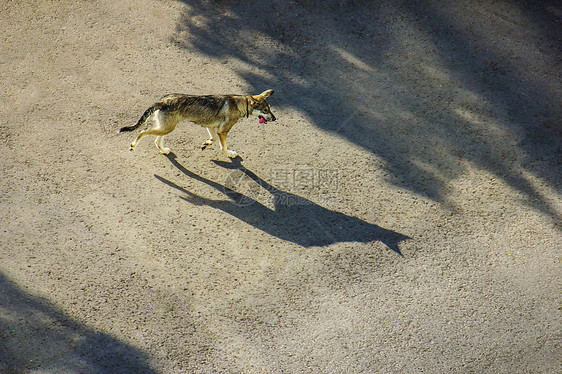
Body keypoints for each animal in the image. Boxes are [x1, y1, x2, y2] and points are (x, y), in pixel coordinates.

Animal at [119, 89, 274, 158]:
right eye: (265, 110)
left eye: (270, 109)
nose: (275, 119)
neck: (240, 103)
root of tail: (163, 101)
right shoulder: (222, 131)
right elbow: (223, 147)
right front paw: (229, 153)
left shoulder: (212, 127)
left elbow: (213, 139)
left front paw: (206, 144)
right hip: (166, 128)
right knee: (142, 132)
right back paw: (133, 146)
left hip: (166, 128)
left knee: (156, 141)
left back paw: (164, 150)